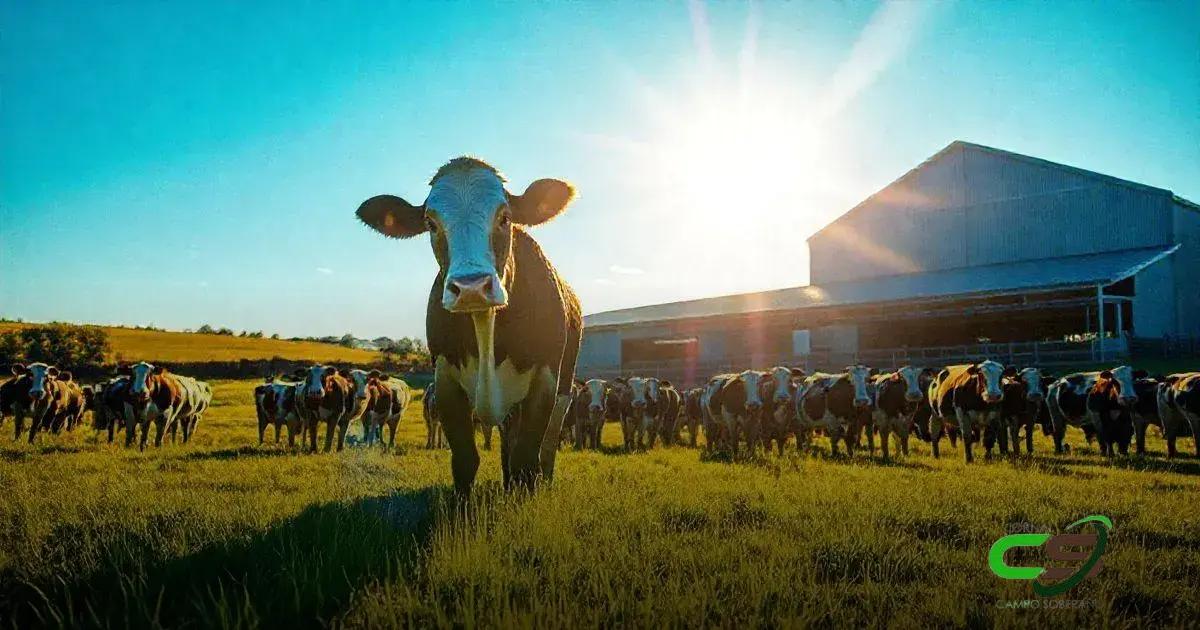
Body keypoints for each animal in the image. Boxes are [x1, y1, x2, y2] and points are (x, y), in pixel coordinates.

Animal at [355, 157, 580, 492]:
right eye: (431, 223)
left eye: (505, 217)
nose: (471, 287)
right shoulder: (444, 378)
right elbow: (465, 460)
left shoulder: (546, 380)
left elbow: (528, 459)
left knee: (546, 450)